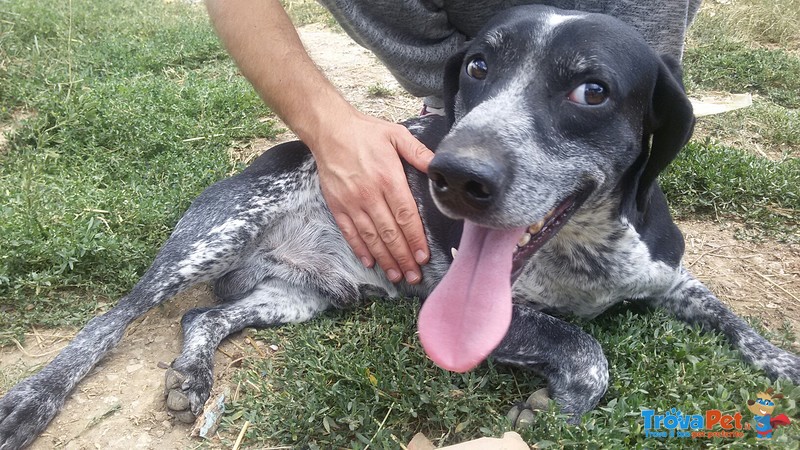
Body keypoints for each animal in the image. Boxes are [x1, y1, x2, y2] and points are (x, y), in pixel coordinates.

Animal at [1, 4, 800, 450]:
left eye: (592, 90)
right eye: (475, 67)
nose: (451, 175)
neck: (587, 252)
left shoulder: (672, 281)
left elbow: (735, 322)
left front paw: (785, 364)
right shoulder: (481, 319)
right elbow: (587, 353)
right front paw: (556, 405)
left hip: (302, 297)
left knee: (203, 317)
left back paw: (193, 376)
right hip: (213, 236)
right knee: (114, 320)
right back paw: (32, 400)